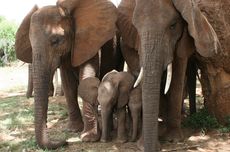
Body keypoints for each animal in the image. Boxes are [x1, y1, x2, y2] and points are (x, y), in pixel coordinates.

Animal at [14, 0, 123, 149]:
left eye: (56, 41)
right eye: (30, 43)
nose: (64, 141)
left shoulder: (88, 41)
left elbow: (86, 76)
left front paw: (89, 138)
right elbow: (68, 84)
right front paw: (73, 130)